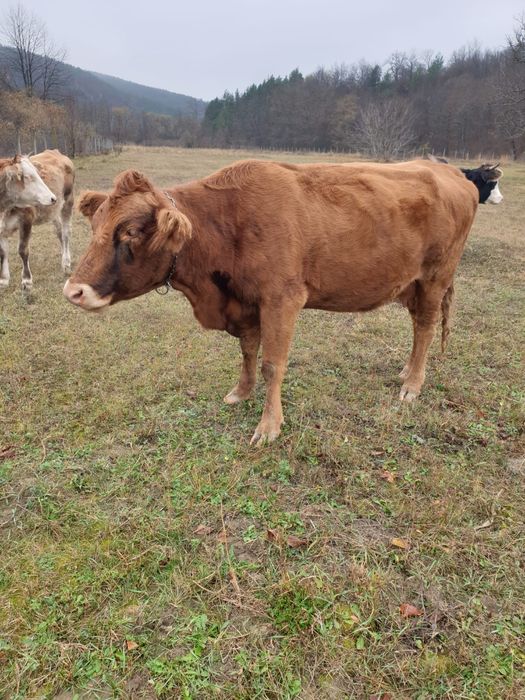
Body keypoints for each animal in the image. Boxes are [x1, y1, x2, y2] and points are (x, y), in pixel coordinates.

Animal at [0, 150, 74, 290]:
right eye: (27, 177)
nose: (52, 198)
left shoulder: (26, 219)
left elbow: (23, 250)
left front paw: (27, 280)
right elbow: (3, 252)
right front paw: (4, 279)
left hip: (68, 202)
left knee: (66, 234)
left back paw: (66, 262)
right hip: (54, 211)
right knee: (60, 233)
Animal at [63, 158, 503, 444]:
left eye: (132, 231)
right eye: (95, 226)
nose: (73, 291)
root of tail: (449, 172)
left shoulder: (283, 298)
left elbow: (273, 363)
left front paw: (268, 426)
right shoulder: (246, 303)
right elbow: (247, 352)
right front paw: (241, 392)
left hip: (435, 278)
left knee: (426, 328)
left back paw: (412, 385)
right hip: (412, 283)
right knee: (417, 327)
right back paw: (406, 372)